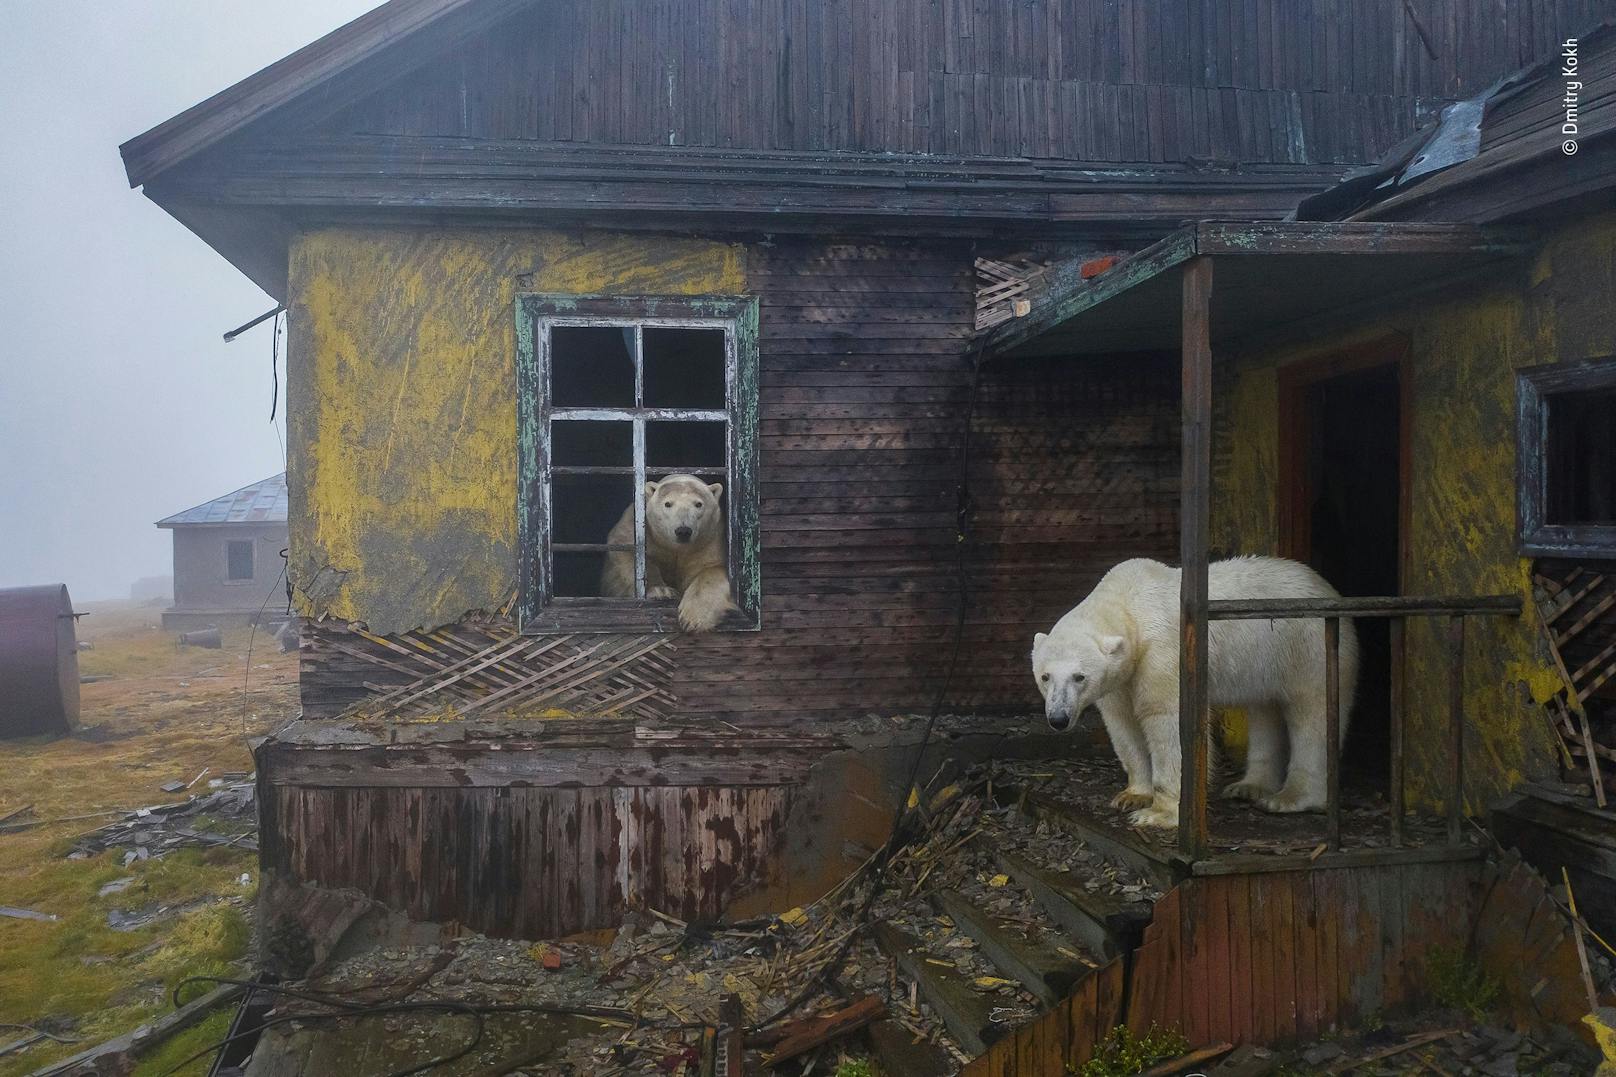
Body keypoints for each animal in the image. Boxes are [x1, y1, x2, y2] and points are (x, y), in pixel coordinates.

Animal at [601, 468, 740, 630]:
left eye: (698, 504)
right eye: (667, 504)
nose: (683, 531)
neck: (677, 548)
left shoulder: (711, 538)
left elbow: (713, 569)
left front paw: (692, 619)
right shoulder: (639, 527)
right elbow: (627, 550)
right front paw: (662, 591)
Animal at [1027, 556, 1357, 824]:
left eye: (1079, 676)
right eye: (1045, 676)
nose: (1058, 719)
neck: (1129, 604)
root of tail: (1327, 588)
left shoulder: (1163, 653)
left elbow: (1168, 720)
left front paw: (1158, 813)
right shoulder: (1121, 677)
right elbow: (1123, 724)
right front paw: (1132, 795)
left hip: (1307, 646)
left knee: (1312, 714)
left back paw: (1289, 798)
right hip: (1266, 662)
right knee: (1264, 709)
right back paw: (1249, 786)